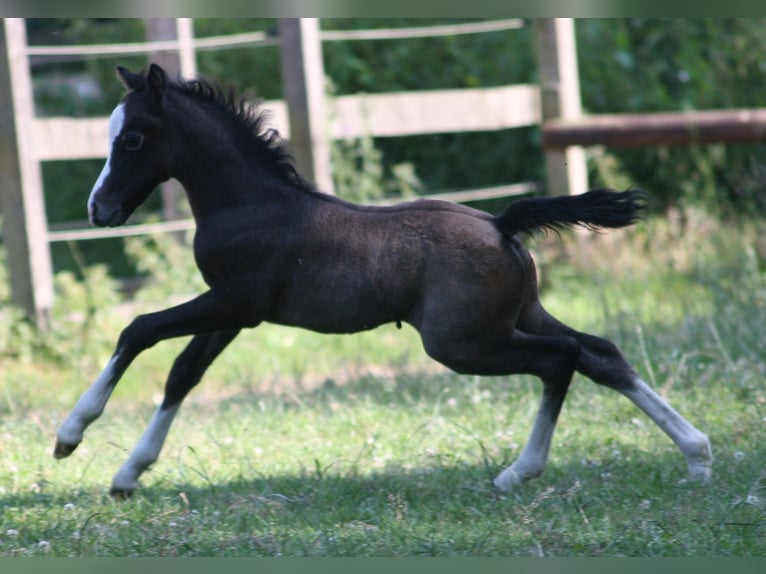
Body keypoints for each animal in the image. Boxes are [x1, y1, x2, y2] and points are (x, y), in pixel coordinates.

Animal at [54, 62, 712, 496]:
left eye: (131, 138)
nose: (98, 210)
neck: (252, 203)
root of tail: (502, 222)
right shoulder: (235, 313)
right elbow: (183, 374)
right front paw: (128, 474)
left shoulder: (233, 302)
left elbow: (139, 330)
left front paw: (70, 435)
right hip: (517, 316)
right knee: (600, 353)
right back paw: (697, 453)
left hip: (461, 342)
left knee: (560, 359)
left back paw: (517, 471)